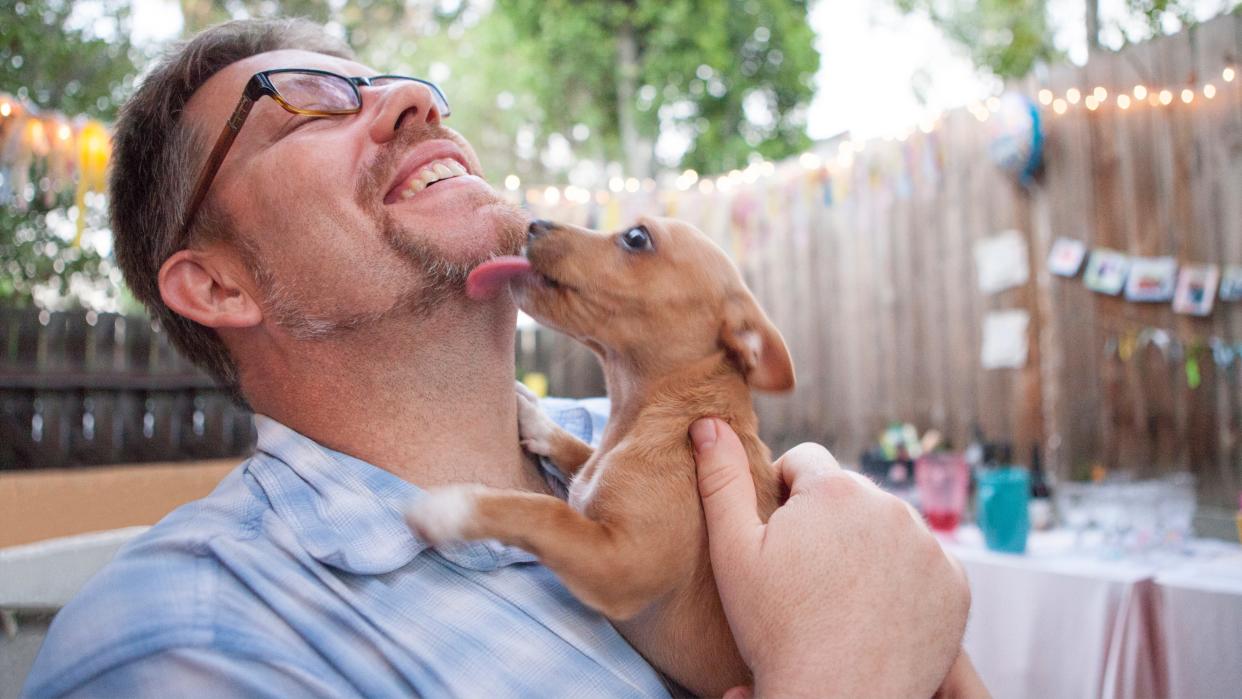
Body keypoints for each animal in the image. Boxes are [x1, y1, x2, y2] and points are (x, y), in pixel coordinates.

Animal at [407, 217, 784, 695]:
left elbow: (545, 512)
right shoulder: (595, 482)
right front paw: (535, 419)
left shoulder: (622, 563)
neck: (653, 411)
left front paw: (455, 506)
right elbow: (579, 454)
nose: (534, 222)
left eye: (636, 237)